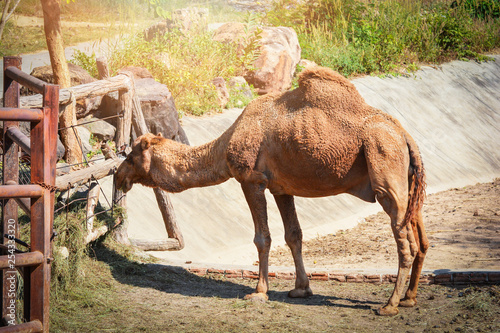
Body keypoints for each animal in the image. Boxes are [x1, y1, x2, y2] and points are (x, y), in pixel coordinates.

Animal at [115, 66, 428, 316]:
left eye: (132, 156)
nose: (118, 177)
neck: (226, 146)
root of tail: (406, 136)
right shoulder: (281, 188)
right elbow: (294, 235)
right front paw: (301, 289)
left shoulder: (251, 180)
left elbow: (262, 238)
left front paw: (259, 292)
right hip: (408, 181)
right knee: (420, 238)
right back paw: (410, 298)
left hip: (384, 163)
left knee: (405, 241)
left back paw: (390, 305)